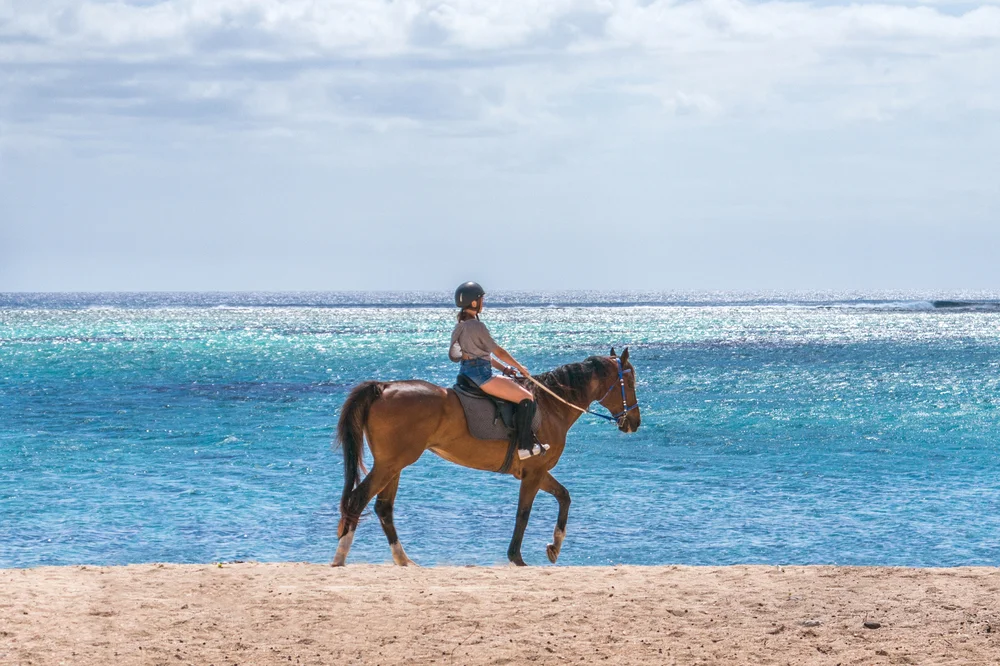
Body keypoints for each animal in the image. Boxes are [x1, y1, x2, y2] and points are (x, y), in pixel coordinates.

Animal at [333, 347, 641, 566]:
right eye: (629, 380)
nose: (635, 422)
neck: (551, 406)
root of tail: (383, 387)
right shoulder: (534, 472)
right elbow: (523, 513)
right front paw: (516, 557)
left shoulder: (536, 471)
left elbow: (564, 496)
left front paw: (554, 546)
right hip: (390, 464)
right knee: (358, 500)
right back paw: (341, 557)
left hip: (394, 465)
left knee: (383, 508)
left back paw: (403, 560)